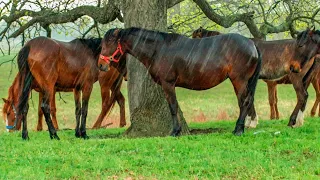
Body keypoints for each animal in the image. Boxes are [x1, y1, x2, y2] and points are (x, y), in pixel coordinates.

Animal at [98, 27, 262, 136]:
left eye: (109, 43)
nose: (101, 65)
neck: (159, 49)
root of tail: (251, 44)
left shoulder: (168, 83)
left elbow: (173, 106)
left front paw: (175, 131)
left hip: (239, 80)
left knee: (245, 101)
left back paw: (238, 130)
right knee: (244, 102)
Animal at [192, 27, 320, 127]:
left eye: (195, 37)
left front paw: (250, 121)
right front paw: (251, 120)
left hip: (296, 78)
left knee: (302, 96)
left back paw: (292, 121)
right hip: (305, 80)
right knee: (304, 97)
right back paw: (299, 121)